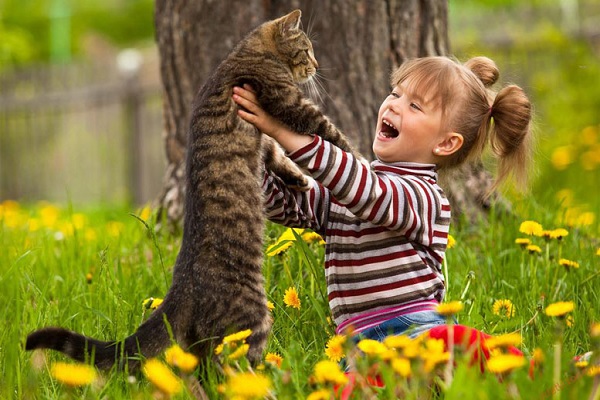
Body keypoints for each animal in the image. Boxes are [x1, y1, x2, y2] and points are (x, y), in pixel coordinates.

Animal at [25, 8, 358, 372]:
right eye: (306, 50)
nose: (316, 65)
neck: (248, 53)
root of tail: (180, 288)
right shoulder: (288, 101)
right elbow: (327, 131)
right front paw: (357, 157)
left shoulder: (266, 136)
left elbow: (277, 154)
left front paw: (299, 178)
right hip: (251, 317)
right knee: (233, 366)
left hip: (204, 340)